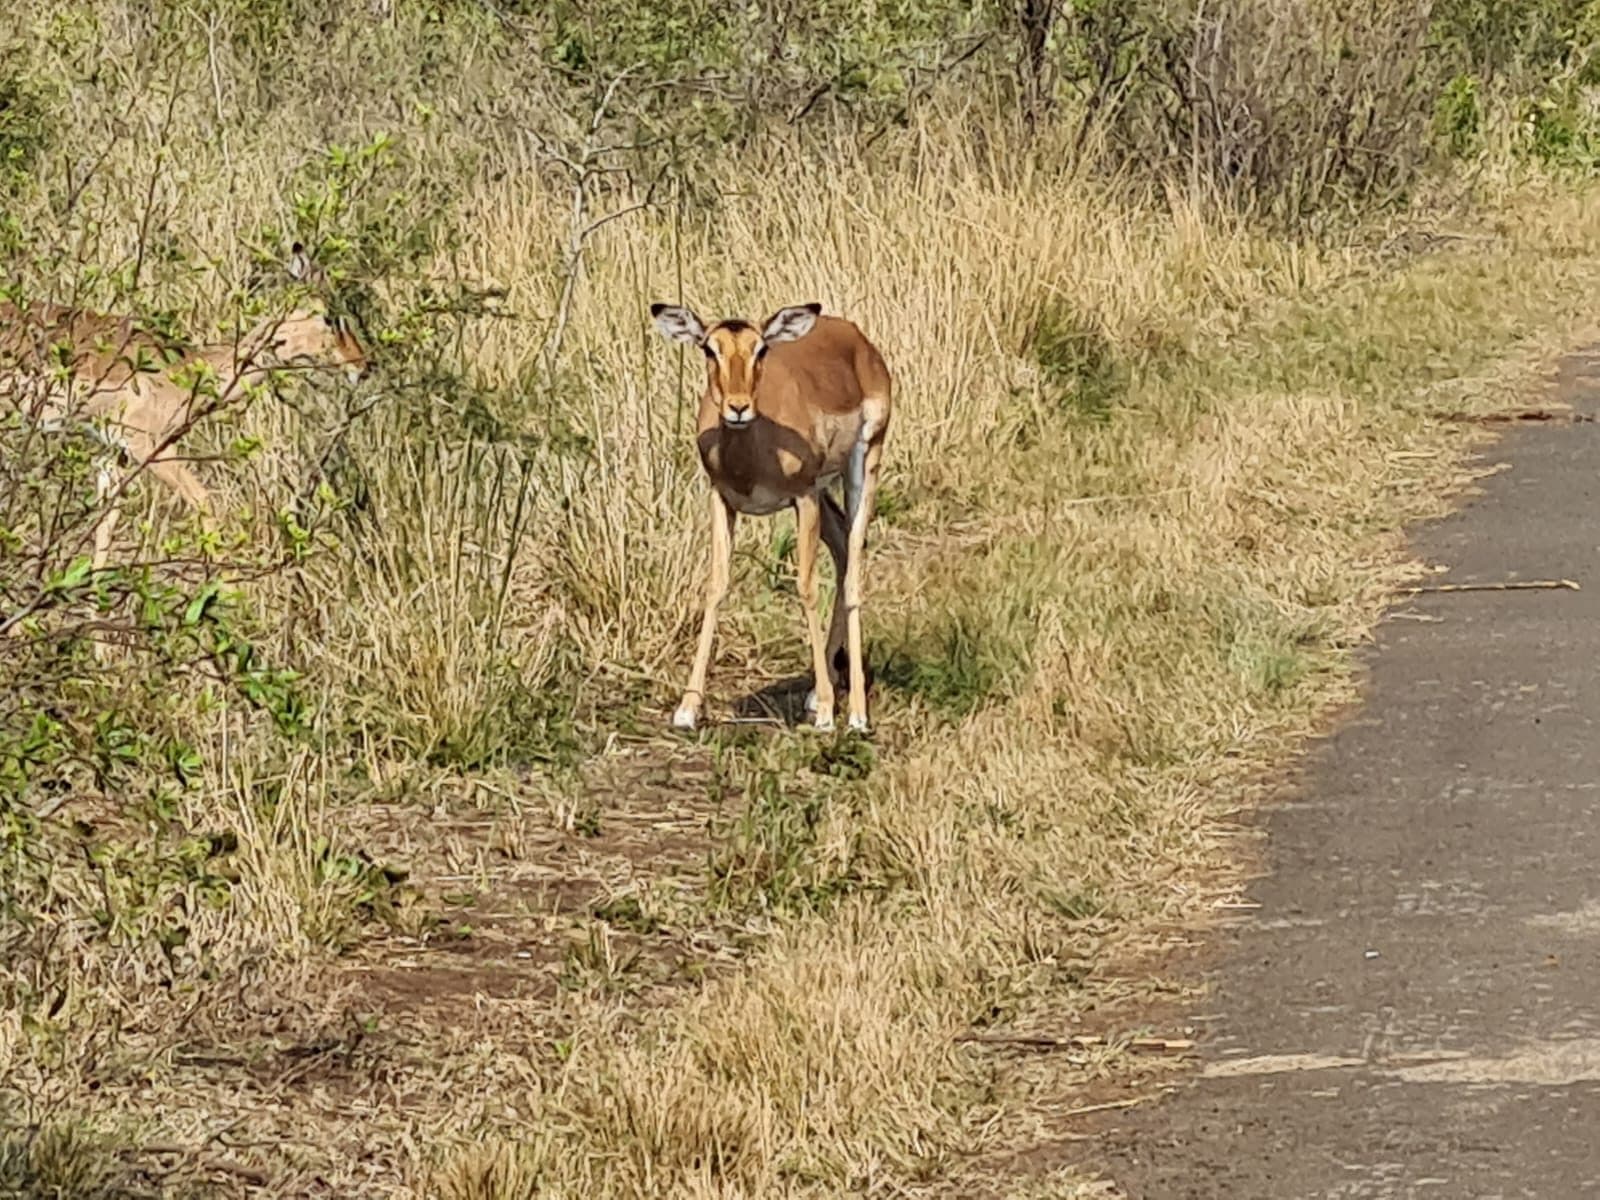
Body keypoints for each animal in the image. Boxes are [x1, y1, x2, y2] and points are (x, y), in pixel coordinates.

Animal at [0, 244, 368, 571]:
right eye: (330, 317)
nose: (363, 366)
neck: (186, 371)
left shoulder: (113, 454)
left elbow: (106, 524)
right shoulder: (150, 449)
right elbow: (206, 502)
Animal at [650, 300, 891, 733]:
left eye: (760, 348)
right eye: (709, 348)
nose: (738, 407)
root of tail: (858, 339)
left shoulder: (803, 497)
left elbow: (806, 588)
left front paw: (828, 712)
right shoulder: (722, 500)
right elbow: (716, 586)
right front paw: (687, 708)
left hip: (863, 465)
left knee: (853, 568)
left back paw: (856, 713)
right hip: (825, 494)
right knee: (843, 550)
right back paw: (817, 693)